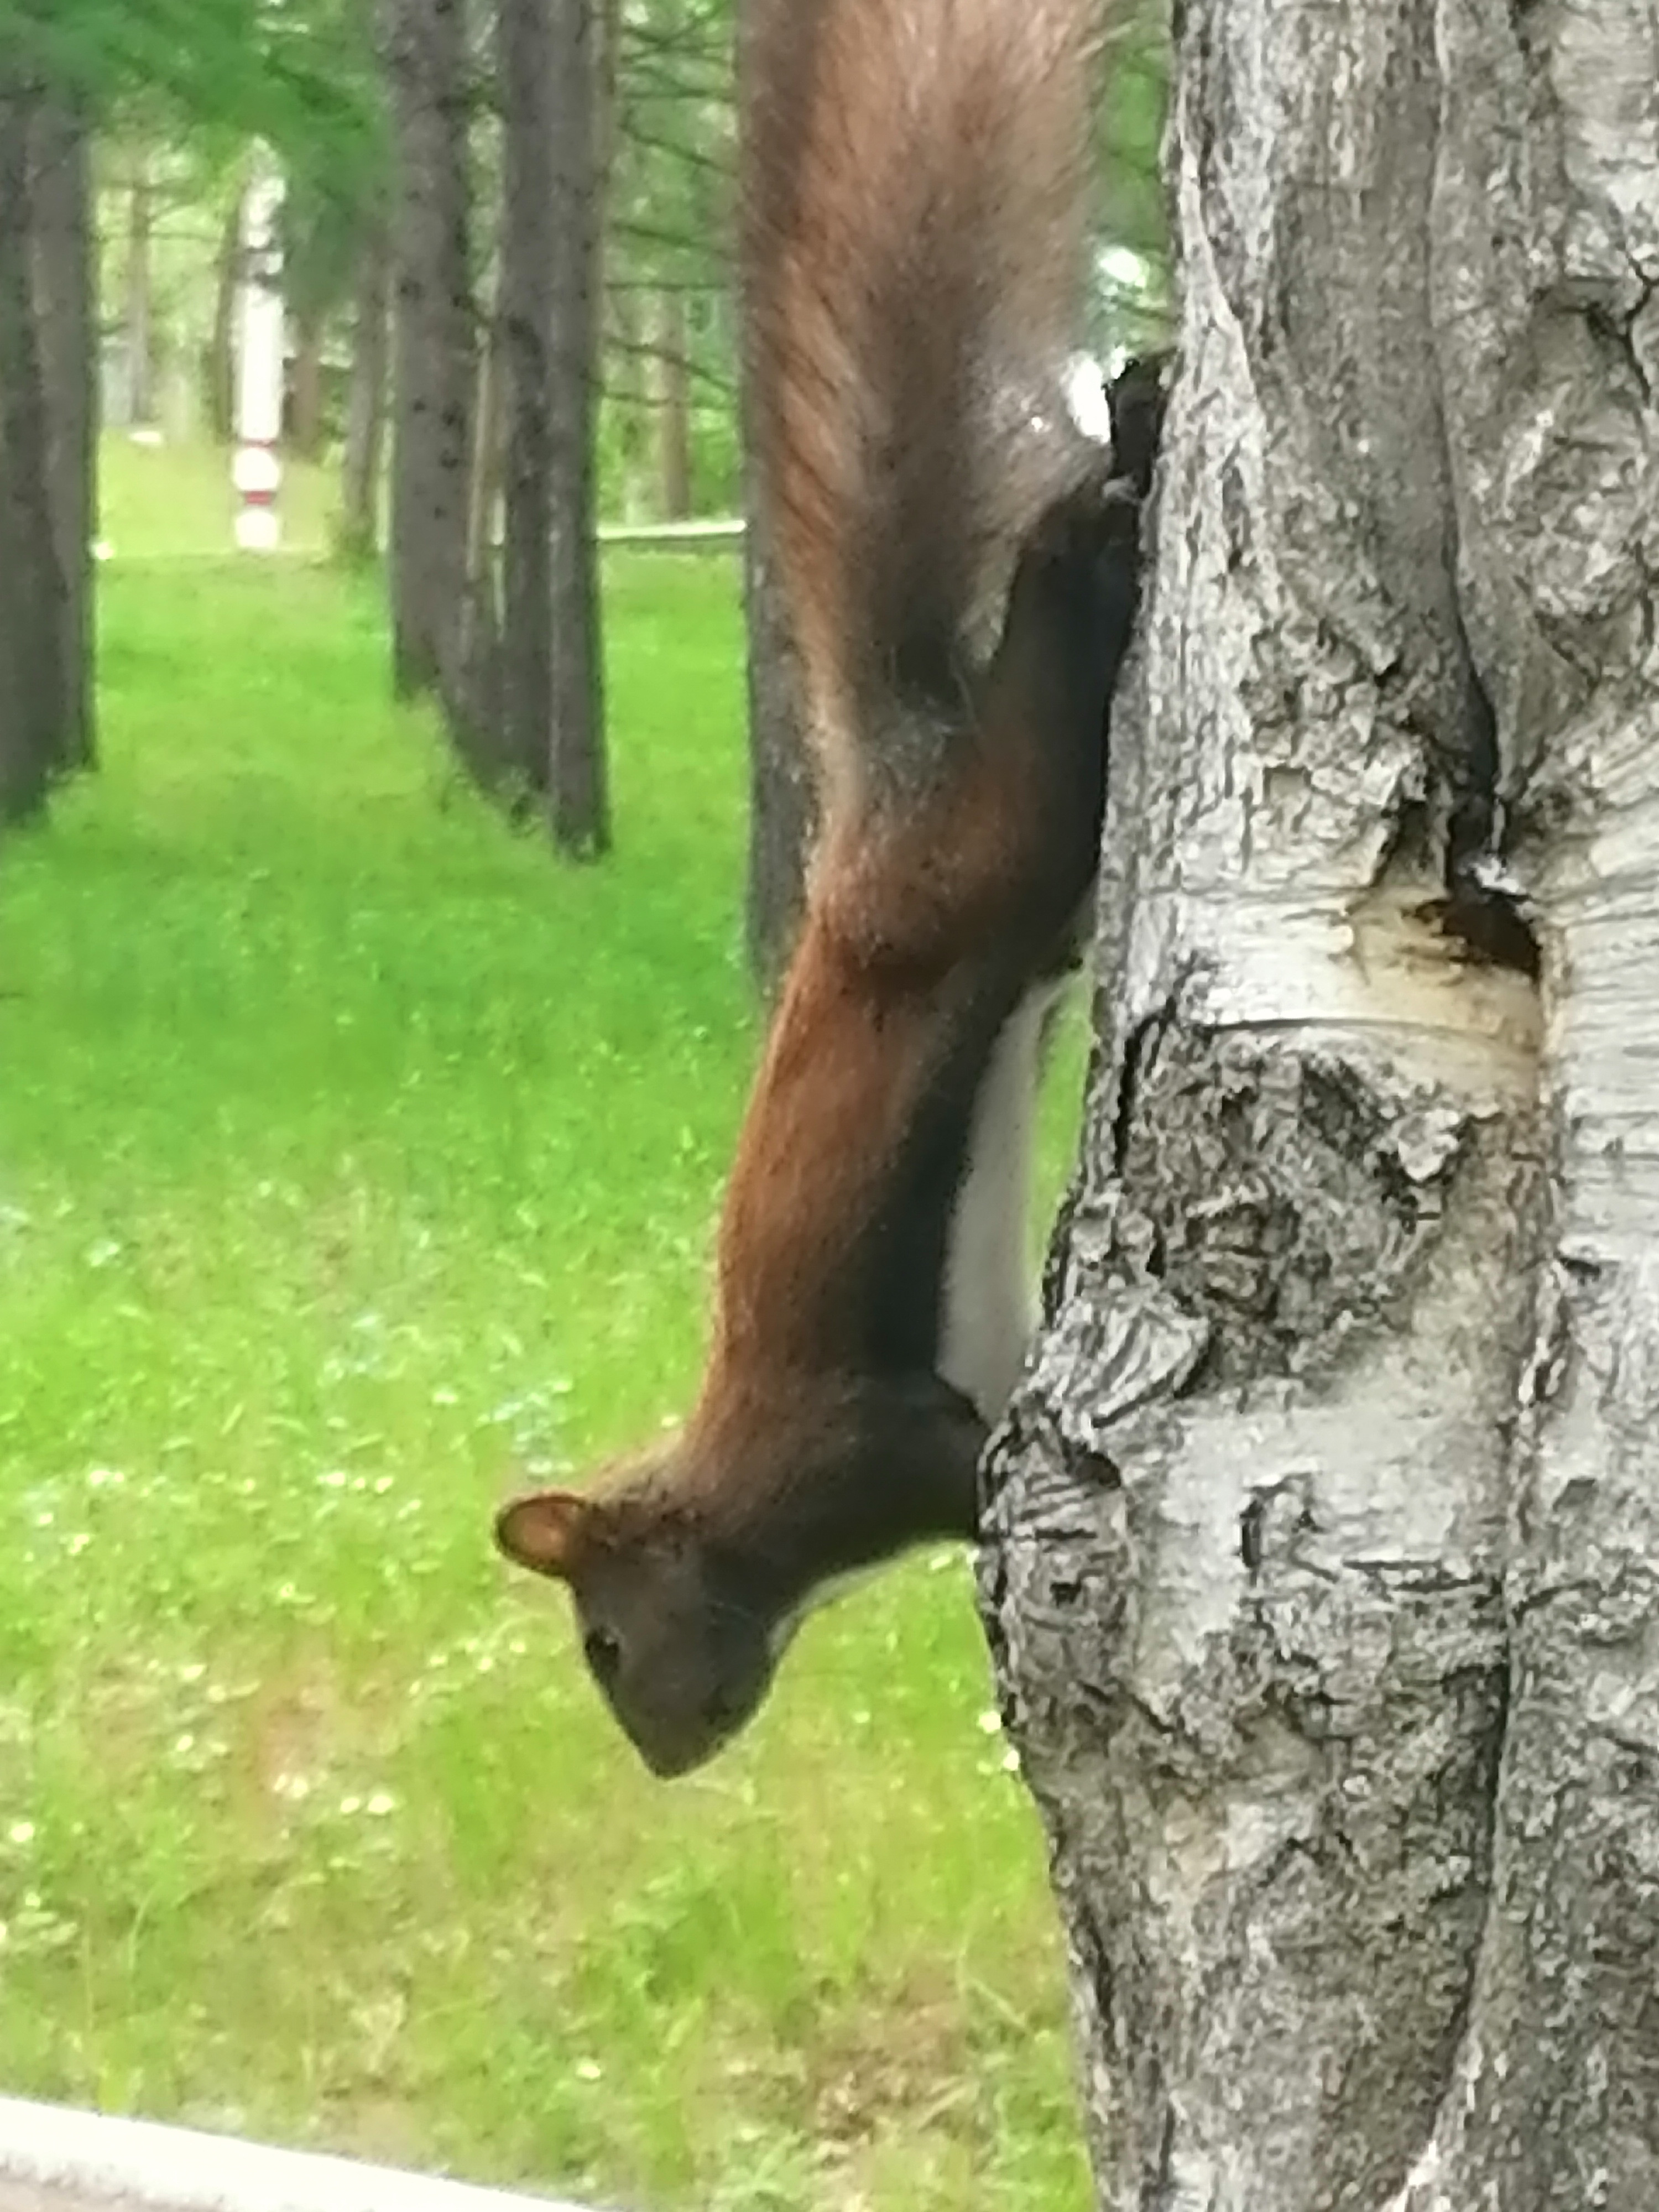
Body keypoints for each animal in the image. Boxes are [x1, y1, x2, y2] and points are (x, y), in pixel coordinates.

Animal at [498, 0, 1168, 1770]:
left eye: (603, 1639)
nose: (665, 1760)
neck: (736, 1504)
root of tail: (879, 811)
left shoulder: (859, 1452)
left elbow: (968, 1469)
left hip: (994, 843)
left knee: (1052, 673)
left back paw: (1107, 494)